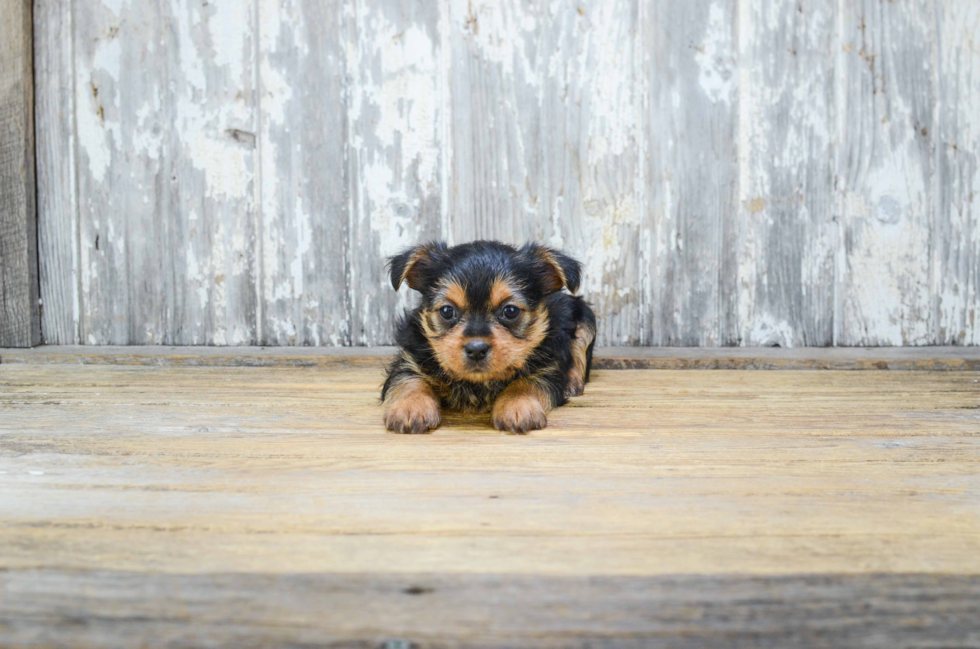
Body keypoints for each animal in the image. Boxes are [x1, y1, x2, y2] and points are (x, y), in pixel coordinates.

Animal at [382, 240, 596, 432]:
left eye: (510, 311)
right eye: (447, 311)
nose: (476, 349)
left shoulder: (548, 367)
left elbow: (527, 382)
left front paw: (518, 406)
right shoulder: (410, 358)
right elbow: (409, 379)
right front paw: (410, 407)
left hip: (586, 319)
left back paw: (572, 383)